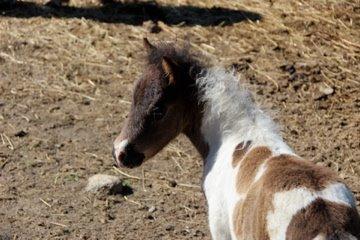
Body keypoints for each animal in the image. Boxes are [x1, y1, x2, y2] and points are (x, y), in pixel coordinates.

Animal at [113, 38, 360, 239]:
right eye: (133, 97)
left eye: (158, 110)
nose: (120, 151)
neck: (233, 137)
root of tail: (329, 223)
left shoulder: (220, 229)